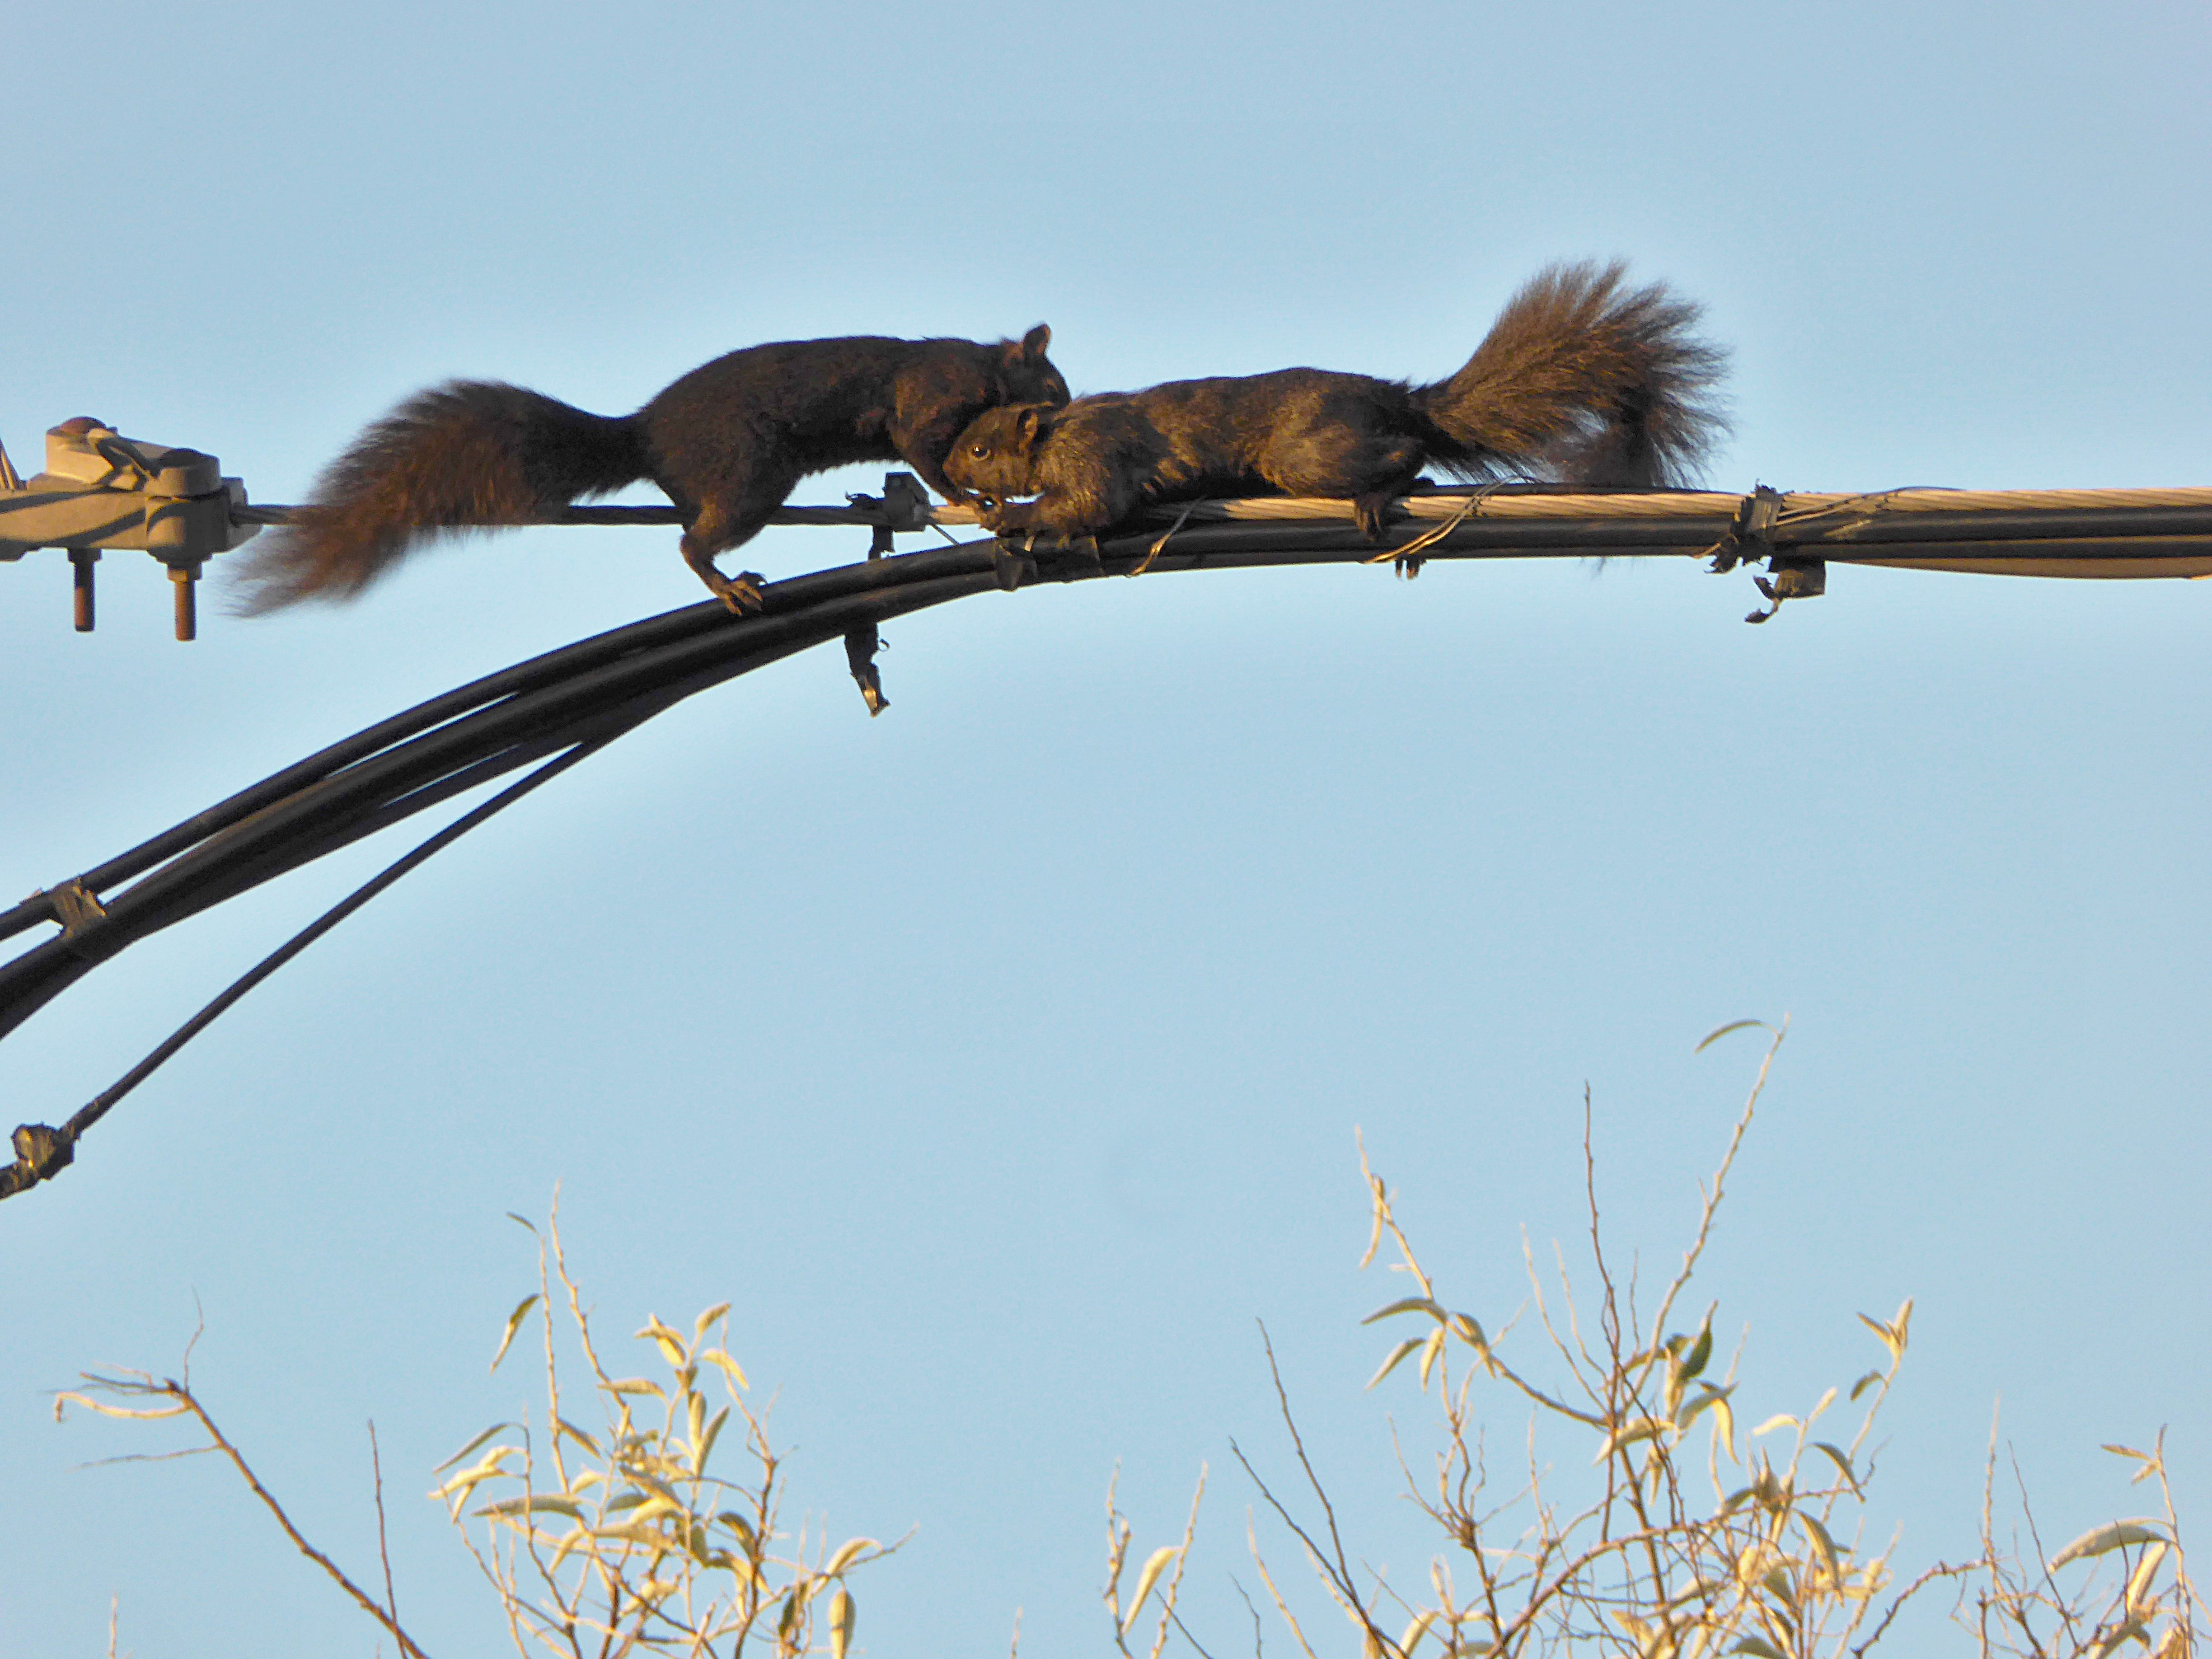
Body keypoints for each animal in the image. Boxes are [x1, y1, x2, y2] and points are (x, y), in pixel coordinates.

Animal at [237, 328, 1068, 614]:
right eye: (1052, 384)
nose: (1066, 409)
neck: (982, 366)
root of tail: (640, 434)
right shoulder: (928, 401)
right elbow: (924, 450)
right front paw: (972, 495)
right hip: (748, 474)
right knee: (692, 542)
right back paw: (725, 584)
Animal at [943, 264, 1725, 543]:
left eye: (981, 447)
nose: (950, 473)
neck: (1053, 434)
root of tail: (1392, 399)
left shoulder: (1093, 454)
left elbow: (1093, 502)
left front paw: (1019, 517)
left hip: (1308, 452)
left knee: (1409, 452)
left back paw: (1384, 490)